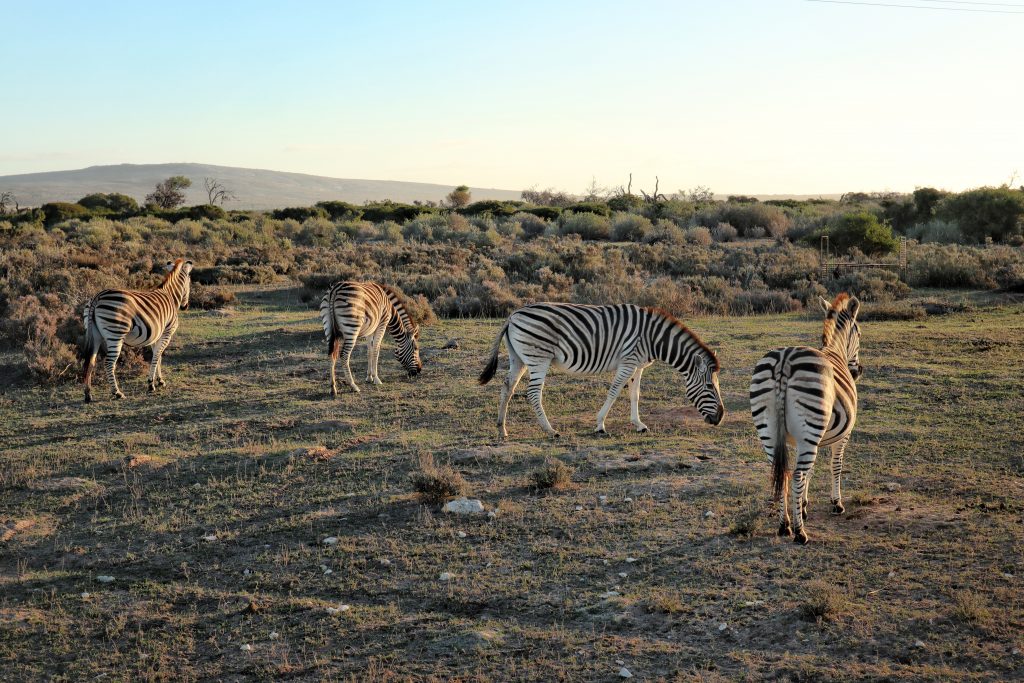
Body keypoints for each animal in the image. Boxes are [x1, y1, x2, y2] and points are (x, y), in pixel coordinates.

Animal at [82, 259, 193, 403]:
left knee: (91, 360)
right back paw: (117, 392)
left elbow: (158, 356)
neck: (170, 295)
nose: (185, 306)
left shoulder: (157, 335)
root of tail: (97, 297)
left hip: (95, 335)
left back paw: (88, 394)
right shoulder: (167, 332)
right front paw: (151, 384)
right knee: (108, 363)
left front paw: (160, 380)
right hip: (116, 333)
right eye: (190, 281)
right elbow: (157, 356)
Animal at [481, 303, 729, 438]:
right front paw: (600, 425)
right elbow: (614, 391)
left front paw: (639, 425)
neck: (653, 338)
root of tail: (513, 315)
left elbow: (635, 394)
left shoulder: (637, 365)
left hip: (518, 358)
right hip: (538, 357)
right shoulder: (627, 361)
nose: (719, 418)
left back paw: (501, 429)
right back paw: (550, 430)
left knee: (507, 387)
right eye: (710, 386)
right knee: (533, 393)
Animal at [753, 292, 864, 544]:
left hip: (771, 431)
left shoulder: (806, 439)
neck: (835, 351)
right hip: (809, 429)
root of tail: (784, 361)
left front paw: (802, 506)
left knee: (783, 474)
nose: (858, 371)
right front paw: (836, 503)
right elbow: (835, 466)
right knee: (795, 475)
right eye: (860, 334)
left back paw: (784, 526)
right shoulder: (840, 436)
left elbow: (810, 472)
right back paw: (799, 532)